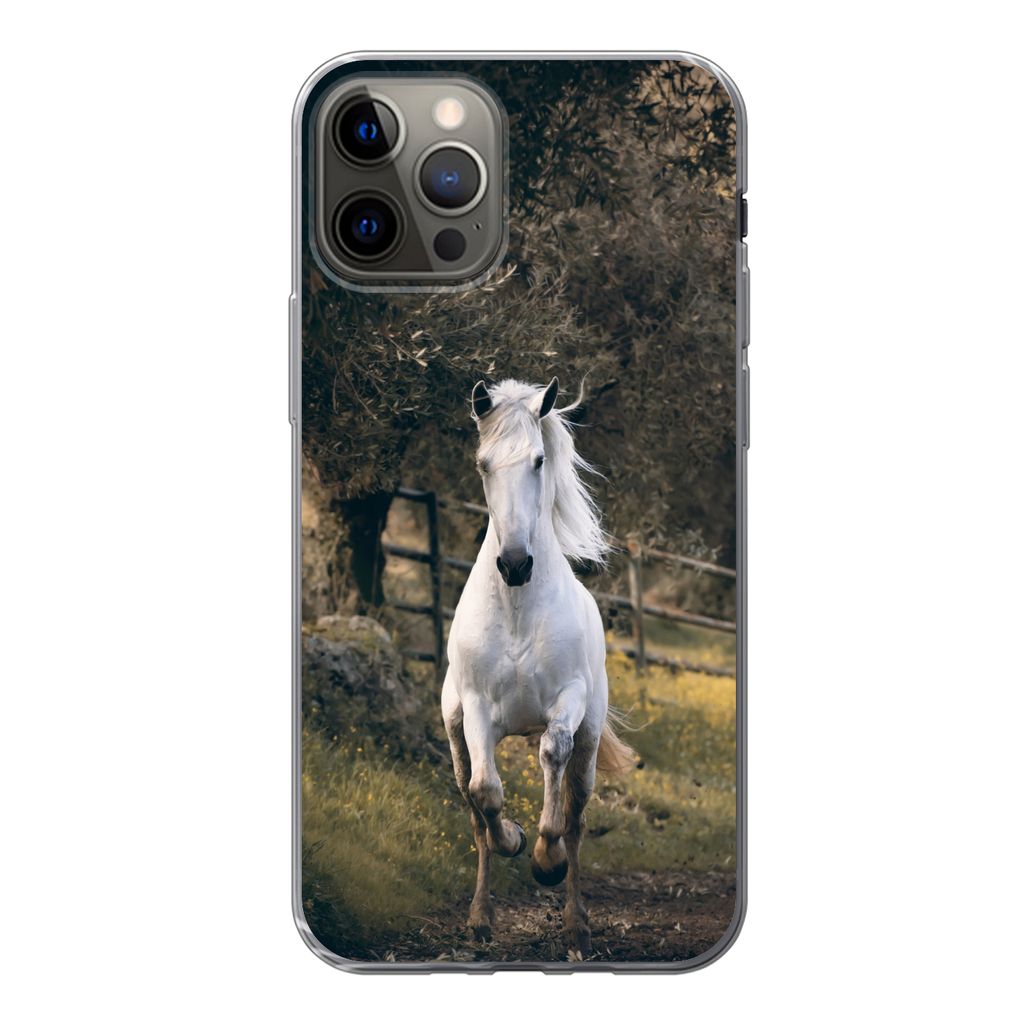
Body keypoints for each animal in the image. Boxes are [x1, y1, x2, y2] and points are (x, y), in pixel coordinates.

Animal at [441, 377, 635, 955]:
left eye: (538, 459)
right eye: (483, 464)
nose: (514, 563)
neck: (518, 610)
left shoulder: (566, 702)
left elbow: (553, 758)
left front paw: (545, 860)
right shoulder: (477, 710)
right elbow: (486, 793)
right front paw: (516, 839)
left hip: (589, 742)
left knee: (575, 812)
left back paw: (575, 922)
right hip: (455, 735)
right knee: (475, 812)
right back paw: (480, 918)